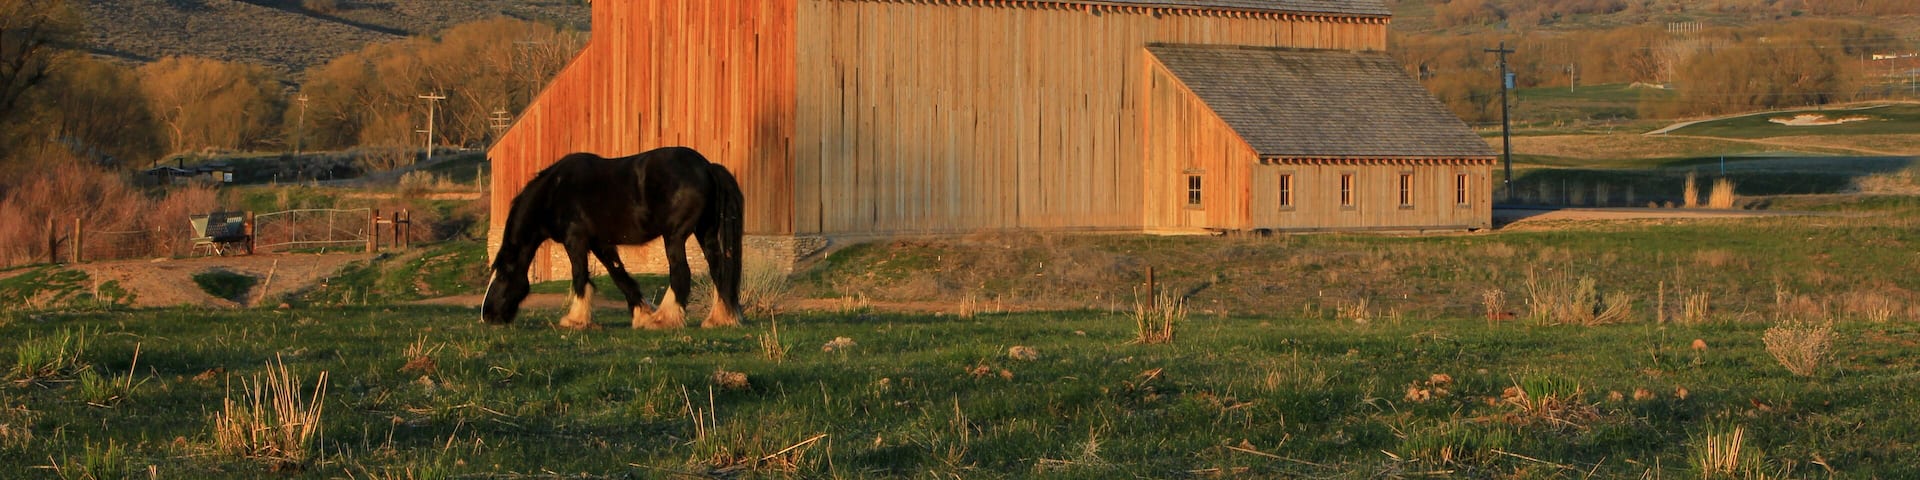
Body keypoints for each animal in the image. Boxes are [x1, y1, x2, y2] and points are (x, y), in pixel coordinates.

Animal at [482, 146, 745, 330]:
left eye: (503, 276)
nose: (487, 316)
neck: (554, 191)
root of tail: (707, 166)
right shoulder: (600, 243)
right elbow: (619, 275)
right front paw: (640, 313)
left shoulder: (575, 241)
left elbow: (580, 276)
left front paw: (576, 320)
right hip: (705, 231)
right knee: (718, 269)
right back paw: (719, 318)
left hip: (675, 236)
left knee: (681, 272)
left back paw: (664, 319)